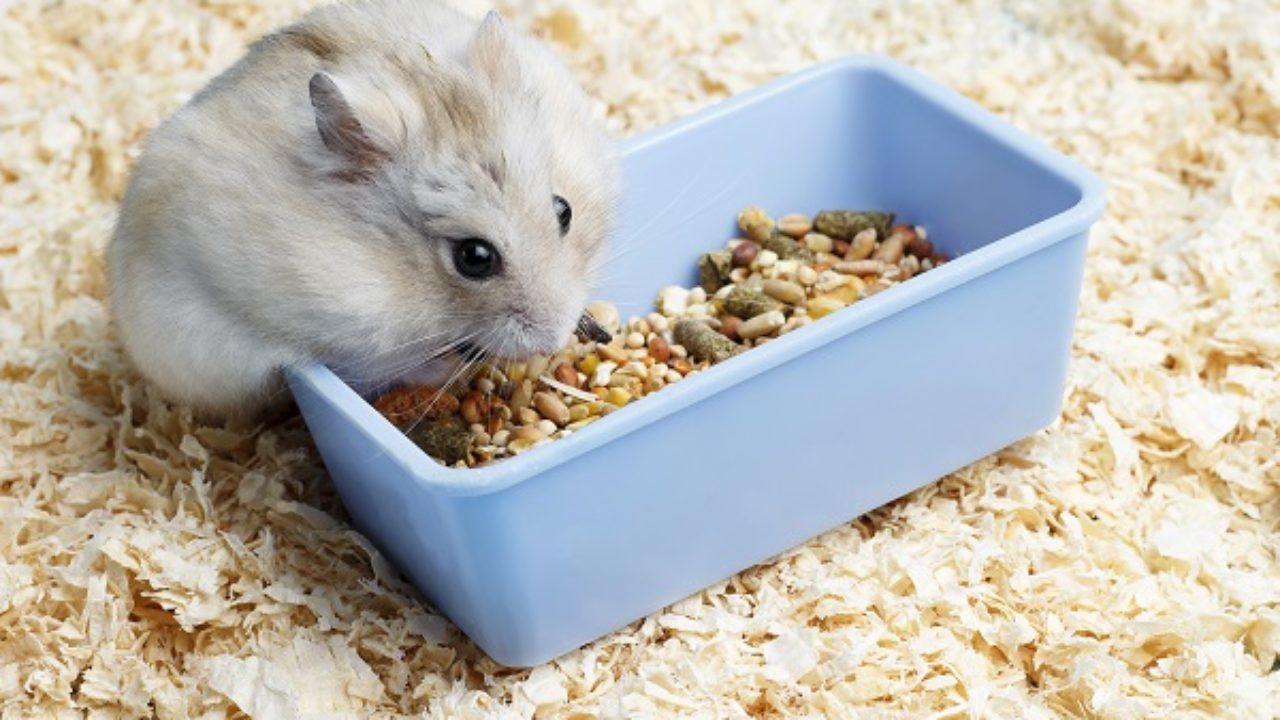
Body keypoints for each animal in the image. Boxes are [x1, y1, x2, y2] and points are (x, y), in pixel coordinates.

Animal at [108, 0, 619, 419]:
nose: (556, 336)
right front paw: (448, 369)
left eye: (564, 211)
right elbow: (388, 365)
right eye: (473, 257)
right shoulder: (339, 336)